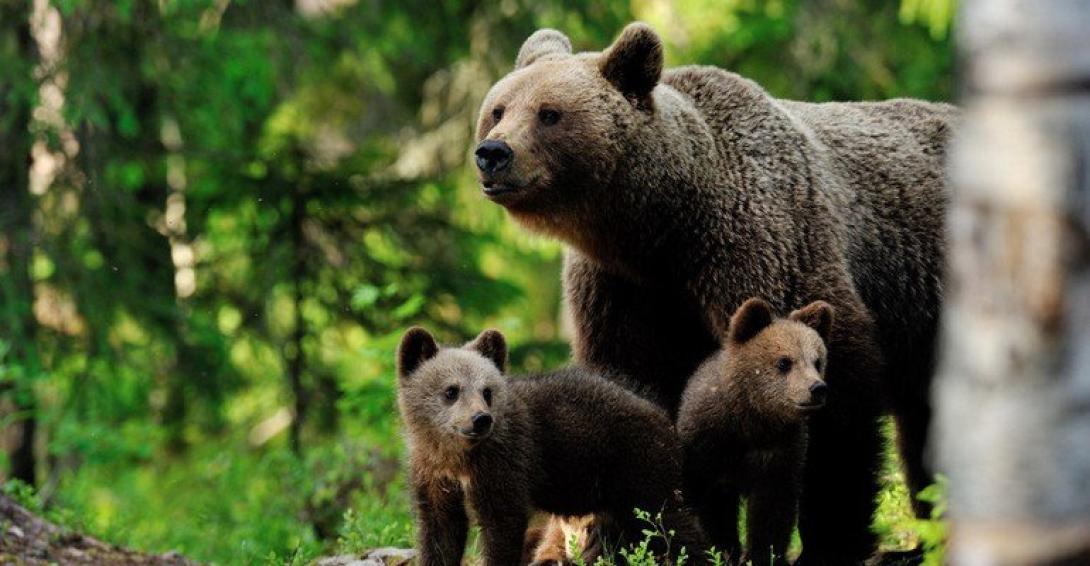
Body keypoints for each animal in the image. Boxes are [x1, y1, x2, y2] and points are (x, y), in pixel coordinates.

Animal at [473, 23, 950, 566]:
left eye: (549, 113)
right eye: (499, 108)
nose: (492, 153)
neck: (660, 230)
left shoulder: (762, 247)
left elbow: (835, 402)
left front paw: (830, 541)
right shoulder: (623, 293)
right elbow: (629, 395)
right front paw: (621, 539)